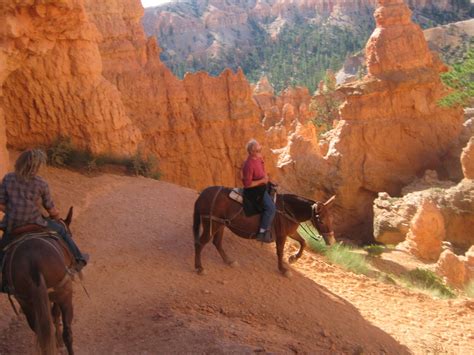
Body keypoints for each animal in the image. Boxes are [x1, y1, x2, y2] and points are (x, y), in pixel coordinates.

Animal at [1, 209, 77, 355]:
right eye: (69, 233)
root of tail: (34, 263)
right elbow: (55, 314)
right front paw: (59, 344)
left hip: (26, 301)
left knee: (40, 331)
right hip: (63, 294)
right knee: (67, 332)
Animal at [193, 186, 336, 278]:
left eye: (331, 219)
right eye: (321, 220)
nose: (331, 240)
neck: (287, 210)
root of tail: (204, 193)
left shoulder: (290, 232)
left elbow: (303, 242)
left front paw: (293, 258)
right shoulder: (281, 235)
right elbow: (280, 252)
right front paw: (283, 270)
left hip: (221, 224)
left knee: (217, 242)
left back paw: (229, 261)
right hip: (212, 223)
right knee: (200, 243)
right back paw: (199, 268)